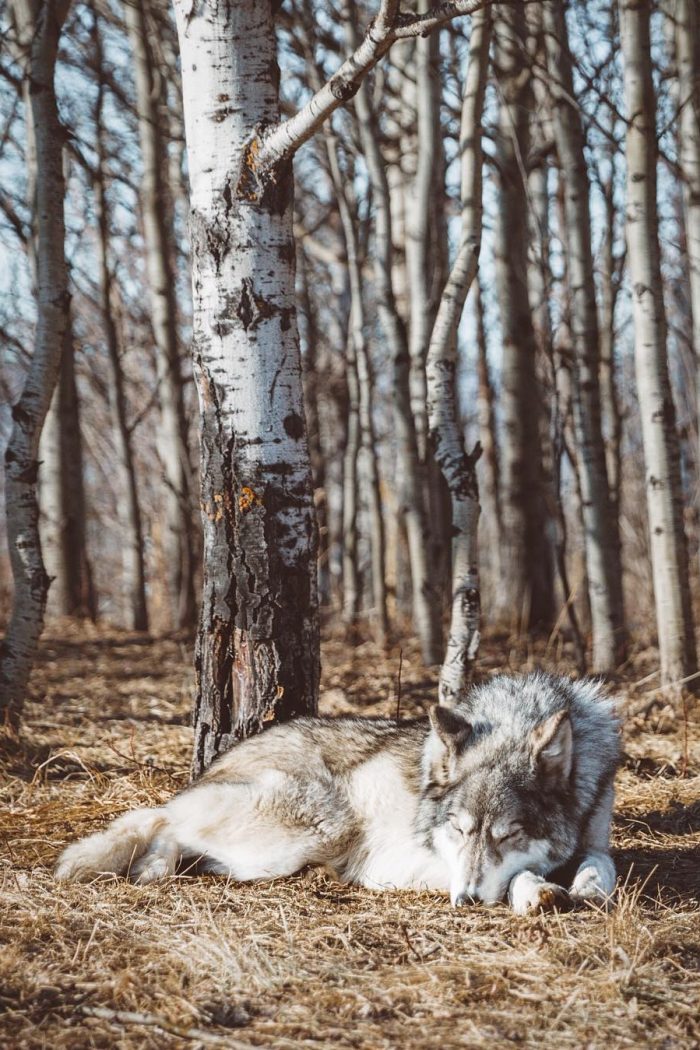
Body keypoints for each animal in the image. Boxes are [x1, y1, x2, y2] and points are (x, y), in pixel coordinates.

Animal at [55, 672, 620, 914]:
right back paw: (148, 864)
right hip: (317, 825)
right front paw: (537, 890)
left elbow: (601, 863)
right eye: (459, 831)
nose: (465, 902)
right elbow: (519, 877)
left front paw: (587, 885)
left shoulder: (595, 835)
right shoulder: (405, 863)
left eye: (507, 834)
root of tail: (221, 761)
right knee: (156, 815)